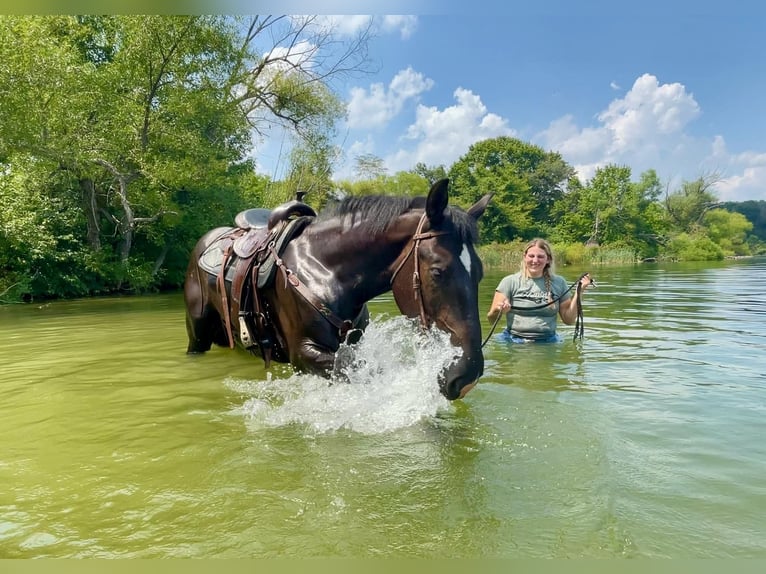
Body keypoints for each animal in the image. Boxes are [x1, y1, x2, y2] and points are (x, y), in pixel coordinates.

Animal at [184, 179, 492, 400]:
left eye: (479, 272)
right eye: (438, 271)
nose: (467, 375)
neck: (325, 269)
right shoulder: (304, 353)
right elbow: (367, 373)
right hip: (197, 331)